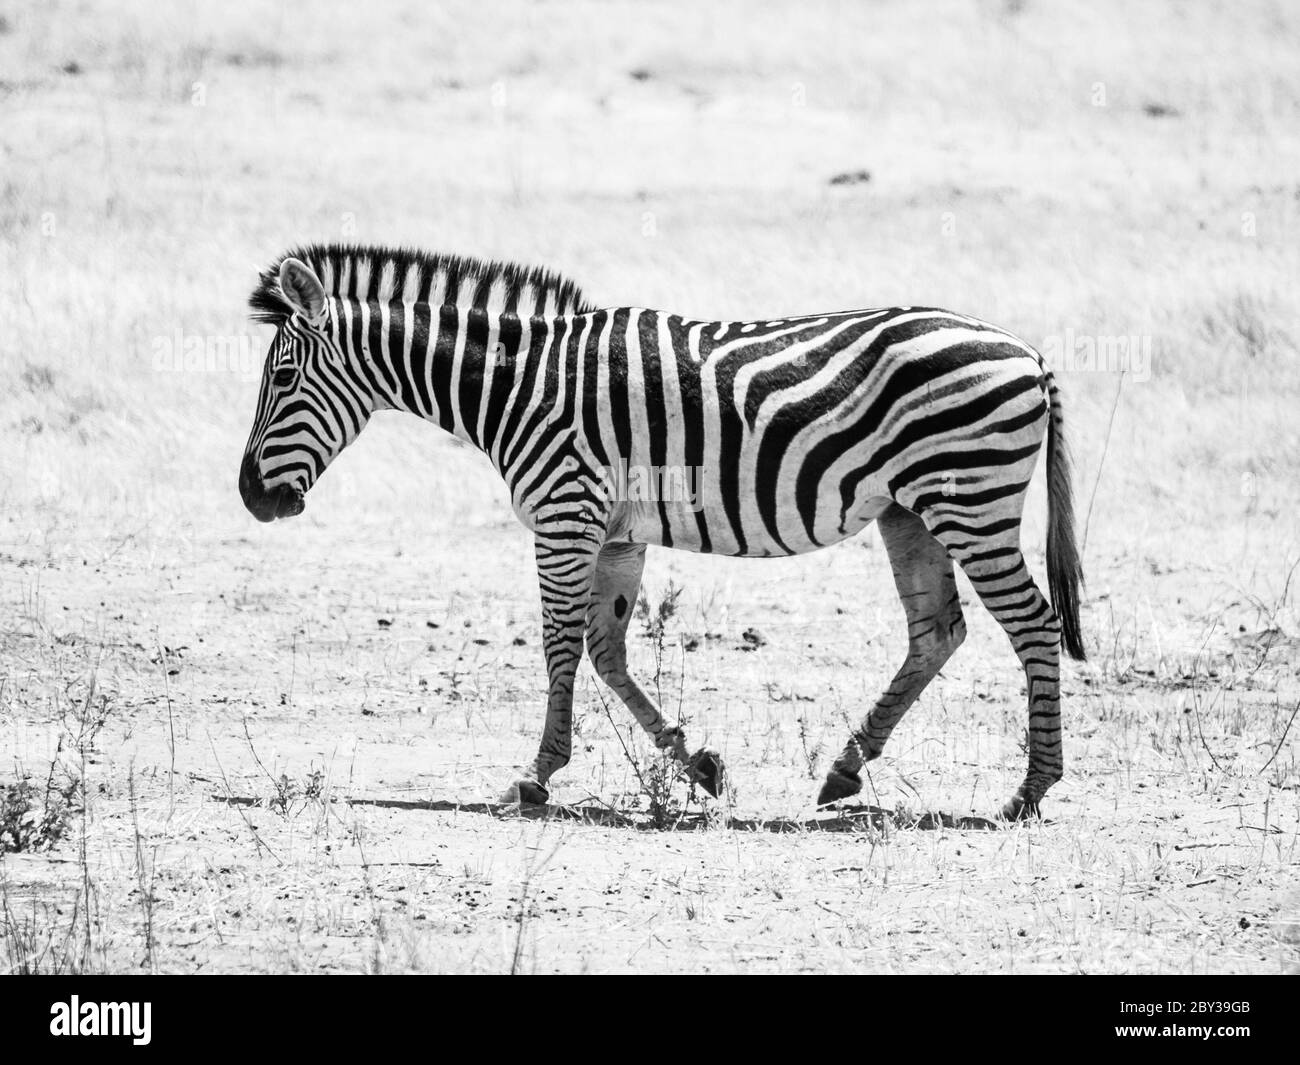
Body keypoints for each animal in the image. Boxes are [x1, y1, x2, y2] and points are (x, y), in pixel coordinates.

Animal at [236, 245, 1086, 821]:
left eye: (281, 379)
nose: (250, 497)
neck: (515, 385)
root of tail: (1031, 353)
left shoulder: (565, 514)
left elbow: (560, 646)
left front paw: (534, 777)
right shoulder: (617, 533)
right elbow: (607, 651)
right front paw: (697, 762)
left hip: (968, 499)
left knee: (1032, 624)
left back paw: (1031, 787)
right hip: (911, 508)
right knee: (937, 631)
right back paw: (846, 768)